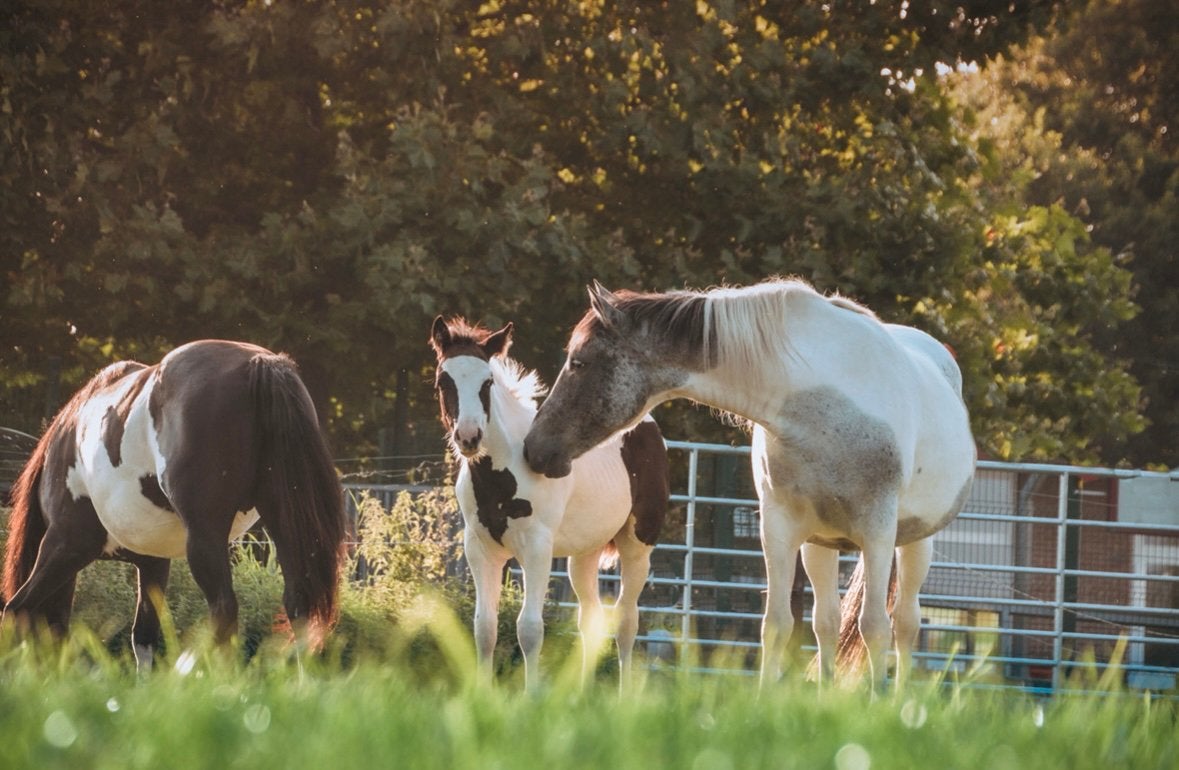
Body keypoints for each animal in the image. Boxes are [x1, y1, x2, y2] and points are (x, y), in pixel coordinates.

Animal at [2, 340, 347, 668]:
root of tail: (259, 364)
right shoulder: (153, 562)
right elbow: (144, 637)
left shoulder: (66, 543)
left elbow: (17, 609)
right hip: (283, 522)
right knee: (299, 605)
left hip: (204, 536)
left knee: (224, 609)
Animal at [430, 316, 669, 690]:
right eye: (444, 380)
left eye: (487, 382)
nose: (469, 437)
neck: (502, 469)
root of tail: (646, 426)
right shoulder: (480, 549)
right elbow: (484, 627)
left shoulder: (536, 549)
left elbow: (529, 629)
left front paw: (531, 695)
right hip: (584, 554)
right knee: (591, 619)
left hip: (637, 545)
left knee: (627, 622)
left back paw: (623, 695)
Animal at [523, 279, 976, 690]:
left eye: (579, 361)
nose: (534, 448)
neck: (819, 404)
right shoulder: (779, 528)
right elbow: (775, 624)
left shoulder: (878, 532)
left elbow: (875, 627)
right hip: (820, 544)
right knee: (826, 622)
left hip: (913, 541)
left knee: (905, 623)